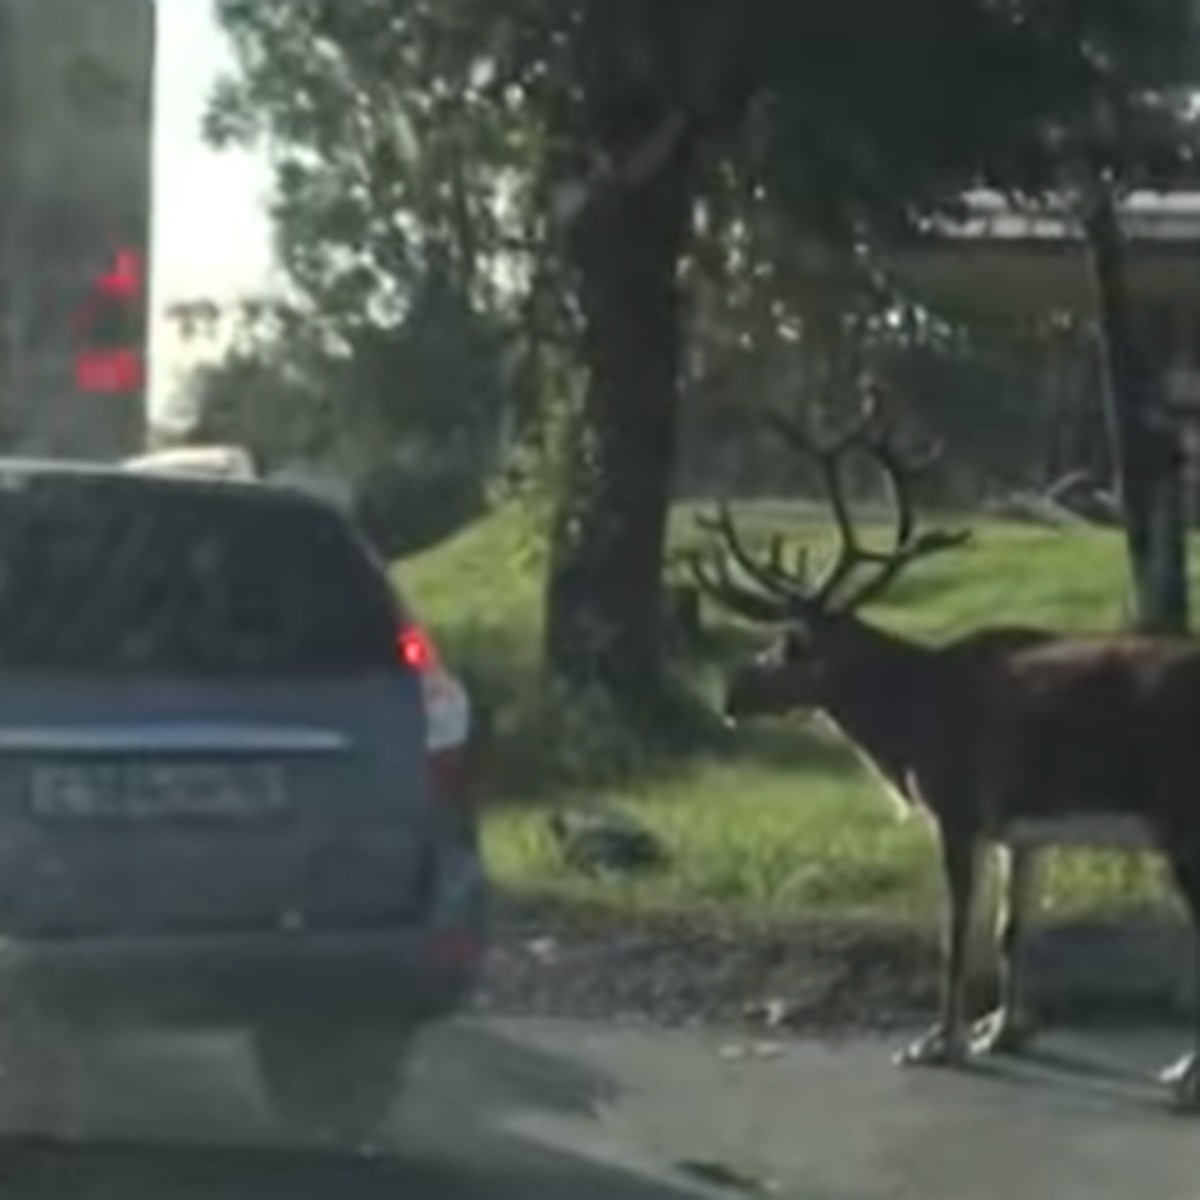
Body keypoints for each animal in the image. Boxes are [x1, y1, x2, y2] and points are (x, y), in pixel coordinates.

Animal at [691, 398, 1200, 1108]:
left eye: (790, 644)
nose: (729, 693)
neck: (908, 718)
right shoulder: (1025, 831)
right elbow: (1011, 930)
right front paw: (1002, 1032)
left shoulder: (958, 809)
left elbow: (956, 934)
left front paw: (938, 1042)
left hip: (1183, 819)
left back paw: (1184, 1074)